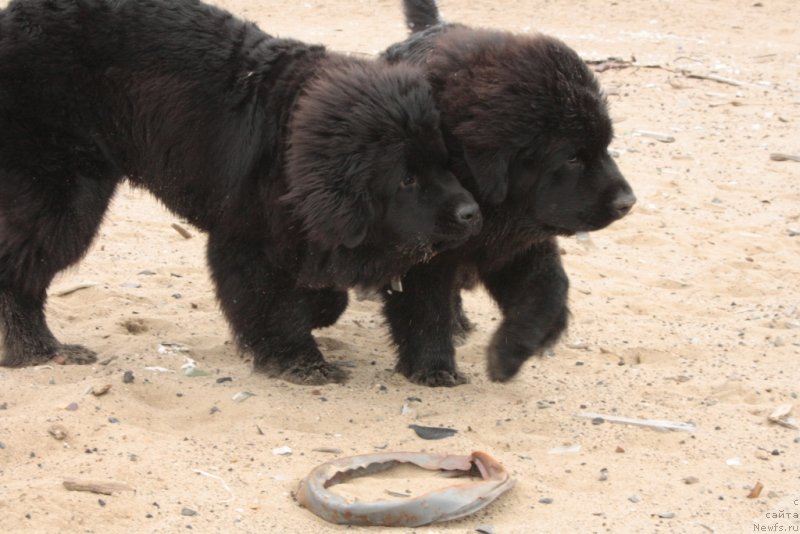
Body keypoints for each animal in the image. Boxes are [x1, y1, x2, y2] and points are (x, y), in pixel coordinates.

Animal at [0, 0, 482, 386]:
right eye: (405, 179)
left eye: (447, 163)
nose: (471, 214)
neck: (293, 146)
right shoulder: (250, 241)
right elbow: (273, 303)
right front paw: (300, 362)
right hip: (62, 196)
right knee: (19, 272)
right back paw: (39, 349)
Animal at [376, 0, 636, 386]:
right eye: (572, 157)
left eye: (605, 146)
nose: (627, 203)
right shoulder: (422, 255)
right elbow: (424, 310)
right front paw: (435, 368)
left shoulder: (519, 245)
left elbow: (548, 292)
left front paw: (510, 354)